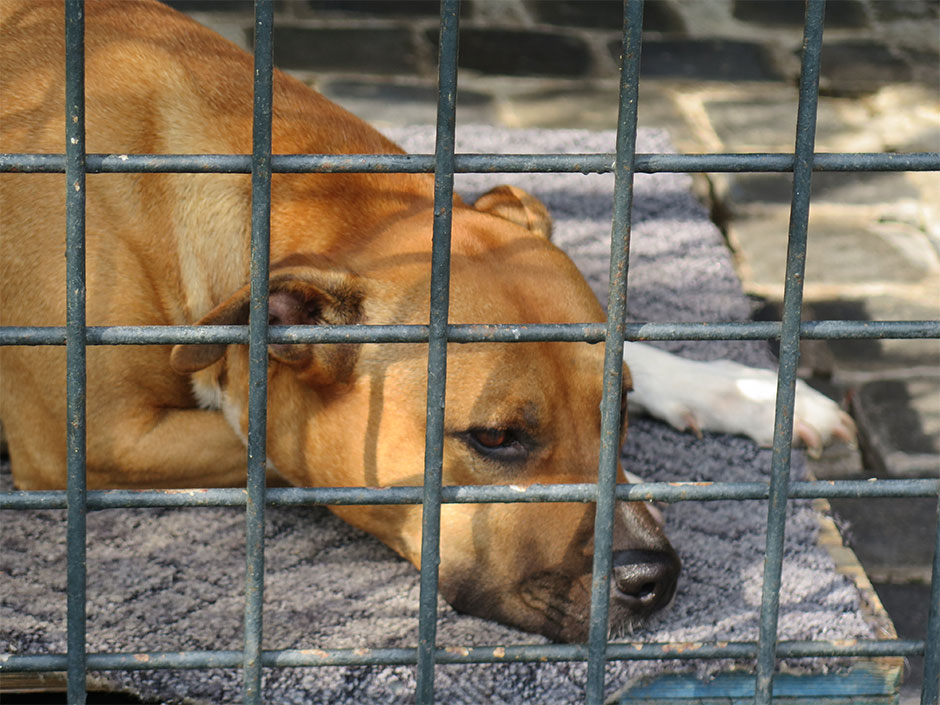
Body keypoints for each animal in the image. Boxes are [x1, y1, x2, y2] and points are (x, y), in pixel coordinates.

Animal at [0, 0, 852, 644]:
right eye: (495, 438)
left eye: (617, 405)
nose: (658, 576)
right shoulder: (92, 442)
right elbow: (271, 441)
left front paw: (748, 392)